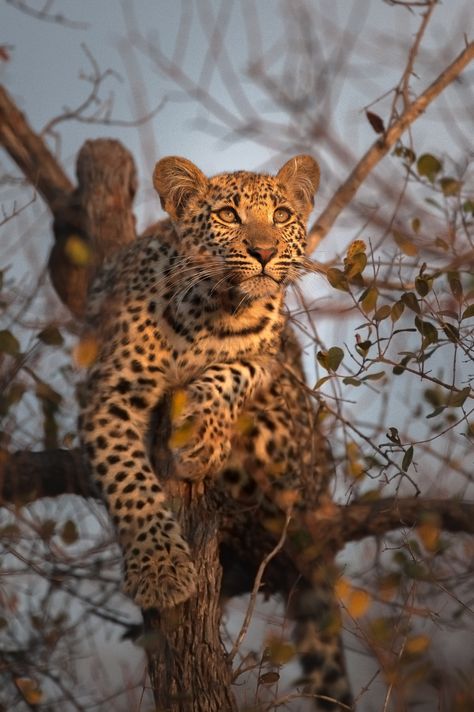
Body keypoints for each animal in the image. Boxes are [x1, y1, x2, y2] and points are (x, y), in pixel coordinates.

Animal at [78, 154, 352, 708]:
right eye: (228, 215)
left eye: (282, 214)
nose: (264, 252)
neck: (220, 310)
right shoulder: (108, 394)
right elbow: (129, 482)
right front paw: (159, 570)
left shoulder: (269, 356)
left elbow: (238, 369)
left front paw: (202, 435)